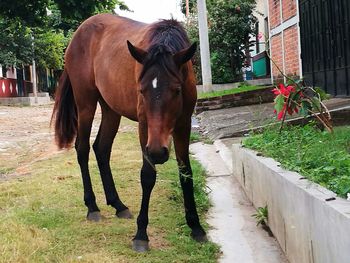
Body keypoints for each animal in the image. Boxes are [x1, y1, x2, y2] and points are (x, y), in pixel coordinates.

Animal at [50, 13, 206, 252]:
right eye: (141, 90)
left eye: (177, 90)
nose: (158, 152)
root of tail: (78, 33)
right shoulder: (144, 126)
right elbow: (147, 175)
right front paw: (141, 234)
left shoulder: (183, 125)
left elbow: (186, 172)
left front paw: (195, 226)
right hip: (85, 104)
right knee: (82, 149)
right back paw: (92, 207)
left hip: (111, 110)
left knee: (101, 149)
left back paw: (118, 205)